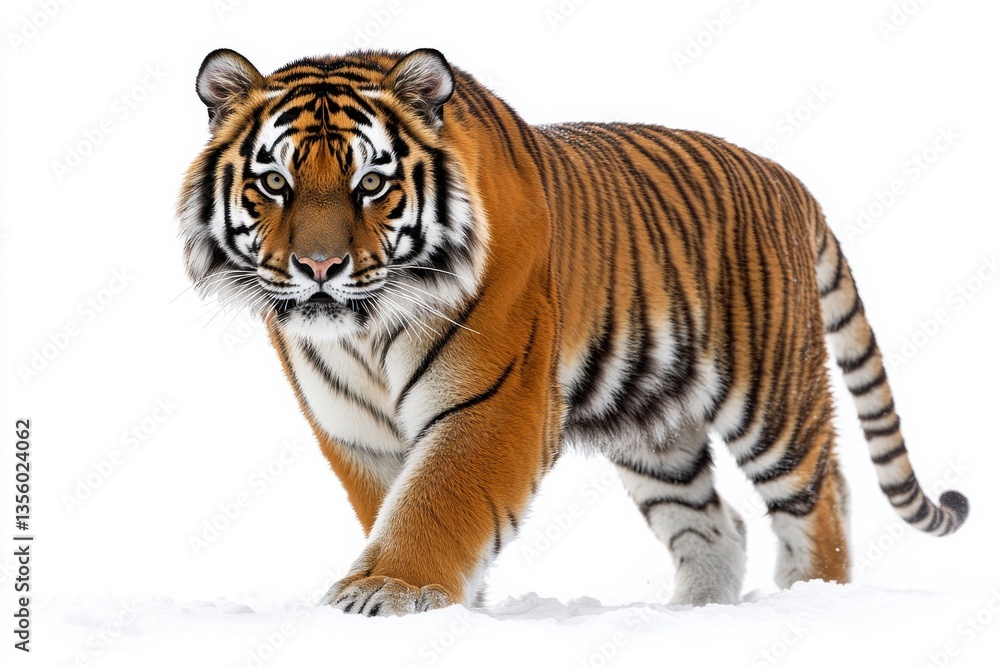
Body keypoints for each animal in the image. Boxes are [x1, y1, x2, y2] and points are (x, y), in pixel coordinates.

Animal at [177, 47, 969, 616]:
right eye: (275, 183)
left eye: (370, 183)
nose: (318, 266)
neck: (363, 331)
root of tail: (789, 179)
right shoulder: (354, 427)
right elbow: (393, 503)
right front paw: (451, 602)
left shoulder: (495, 401)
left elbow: (434, 500)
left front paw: (388, 591)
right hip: (654, 424)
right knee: (717, 526)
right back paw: (693, 619)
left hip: (771, 397)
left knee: (822, 497)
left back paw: (814, 601)